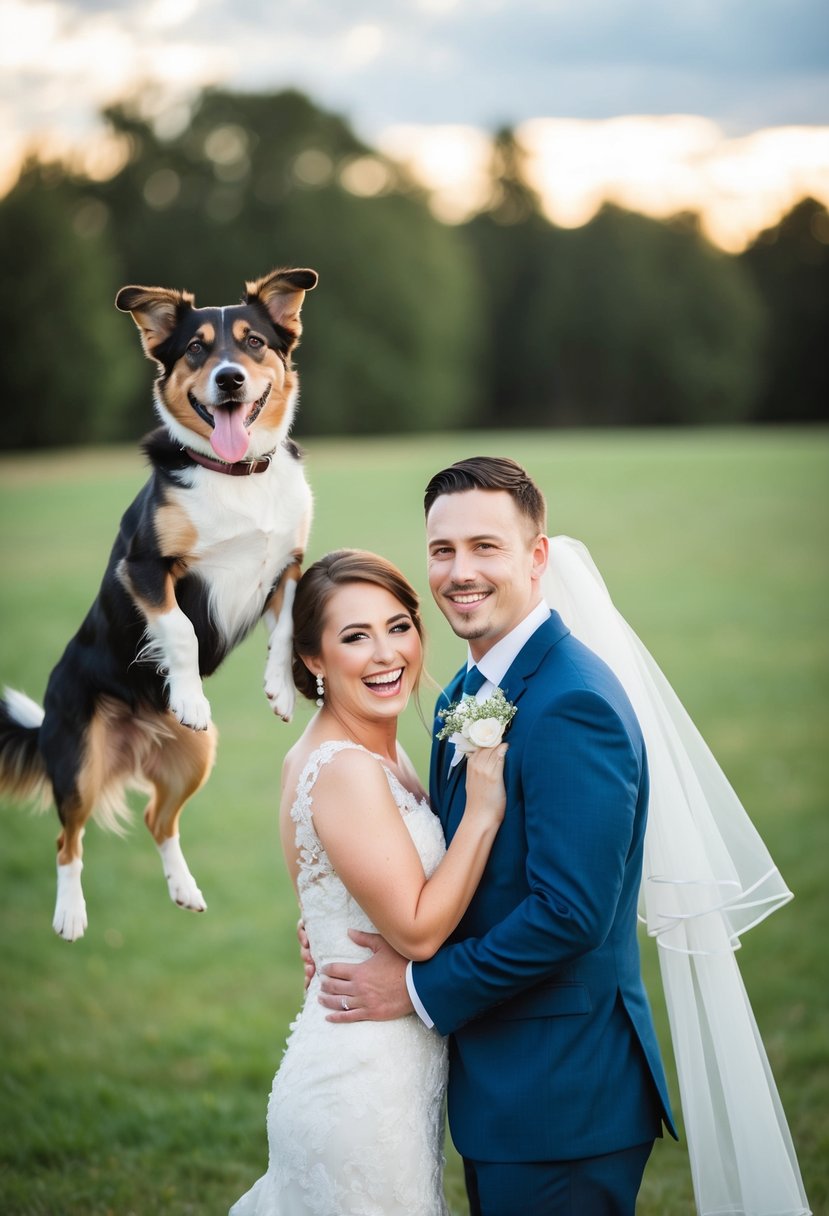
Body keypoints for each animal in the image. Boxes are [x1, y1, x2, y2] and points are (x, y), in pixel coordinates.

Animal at [0, 268, 316, 938]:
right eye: (196, 349)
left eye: (254, 342)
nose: (230, 379)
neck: (234, 474)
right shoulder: (145, 568)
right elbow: (180, 633)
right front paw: (190, 696)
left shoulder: (287, 567)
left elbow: (283, 632)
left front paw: (278, 690)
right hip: (78, 761)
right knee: (67, 839)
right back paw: (70, 915)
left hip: (196, 757)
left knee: (158, 821)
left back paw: (185, 889)